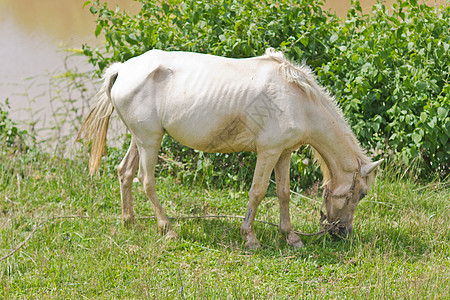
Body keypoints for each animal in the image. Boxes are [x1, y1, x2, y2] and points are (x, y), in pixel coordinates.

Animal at [77, 48, 384, 248]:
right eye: (363, 194)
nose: (342, 234)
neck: (298, 98)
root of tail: (122, 69)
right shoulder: (268, 152)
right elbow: (258, 192)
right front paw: (250, 237)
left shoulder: (283, 152)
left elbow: (283, 194)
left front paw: (291, 237)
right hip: (150, 140)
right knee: (146, 180)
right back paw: (168, 229)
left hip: (140, 139)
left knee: (124, 173)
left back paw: (129, 221)